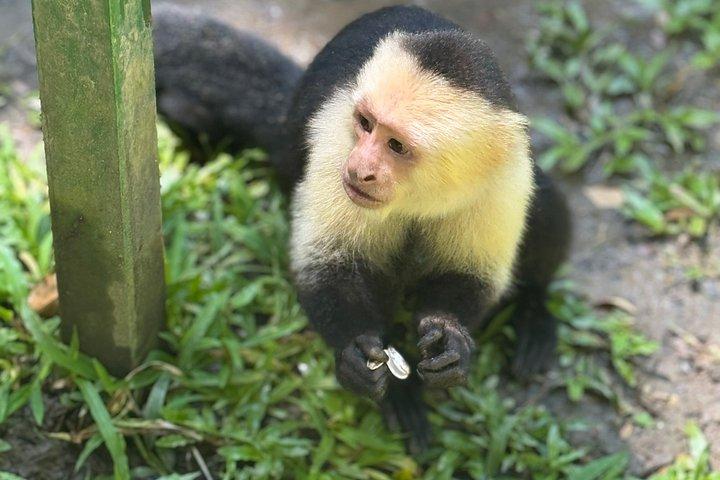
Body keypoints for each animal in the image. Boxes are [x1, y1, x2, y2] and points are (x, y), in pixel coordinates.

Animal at [152, 4, 571, 453]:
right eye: (366, 124)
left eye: (397, 145)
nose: (361, 169)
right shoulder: (337, 142)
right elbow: (329, 266)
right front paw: (358, 354)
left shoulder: (504, 173)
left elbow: (473, 273)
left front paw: (451, 339)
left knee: (546, 204)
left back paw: (534, 309)